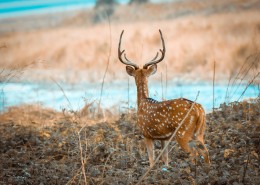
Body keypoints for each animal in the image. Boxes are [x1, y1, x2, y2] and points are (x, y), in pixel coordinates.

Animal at [117, 29, 209, 167]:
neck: (142, 102)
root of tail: (199, 109)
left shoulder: (146, 133)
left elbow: (151, 159)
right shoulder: (164, 138)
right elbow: (165, 158)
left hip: (183, 132)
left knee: (195, 153)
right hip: (200, 131)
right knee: (206, 151)